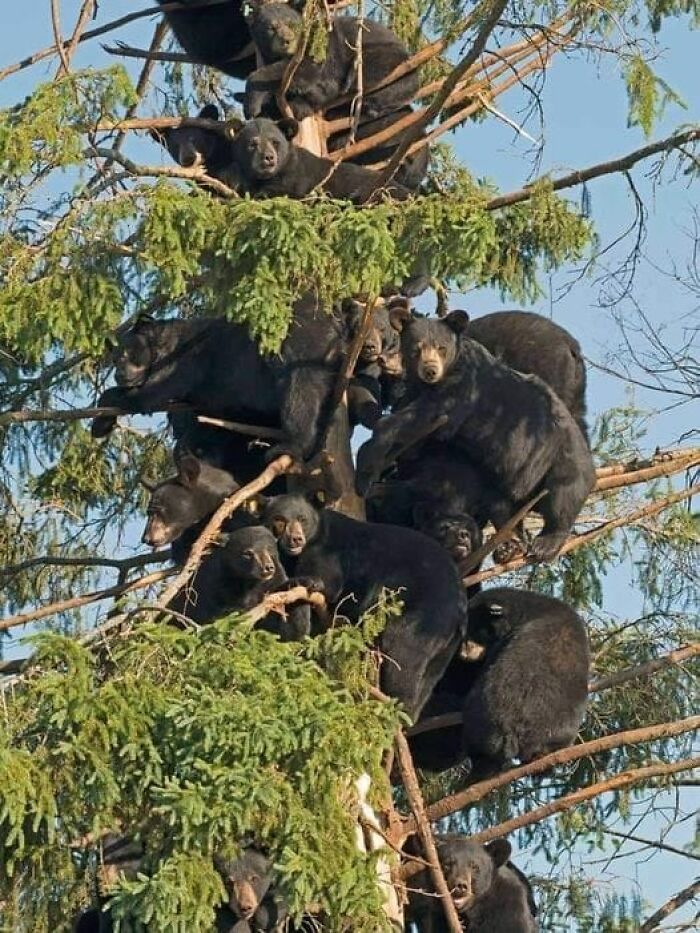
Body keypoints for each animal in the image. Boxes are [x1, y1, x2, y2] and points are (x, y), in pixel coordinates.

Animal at [90, 294, 346, 466]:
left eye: (127, 353)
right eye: (114, 358)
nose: (120, 374)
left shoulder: (185, 361)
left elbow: (151, 393)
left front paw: (102, 417)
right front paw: (102, 424)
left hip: (298, 347)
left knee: (300, 389)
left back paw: (292, 445)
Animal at [167, 523, 311, 639]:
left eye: (269, 550)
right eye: (248, 553)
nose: (267, 567)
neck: (248, 582)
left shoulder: (273, 581)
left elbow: (286, 632)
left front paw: (301, 583)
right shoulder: (213, 584)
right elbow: (209, 616)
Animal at [230, 117, 411, 203]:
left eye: (275, 142)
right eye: (252, 144)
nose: (268, 158)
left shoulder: (297, 177)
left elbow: (290, 192)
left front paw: (261, 194)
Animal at [242, 3, 419, 122]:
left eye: (292, 24)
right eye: (271, 27)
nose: (287, 40)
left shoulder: (321, 46)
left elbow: (307, 69)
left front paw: (251, 106)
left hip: (384, 57)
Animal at [261, 493, 466, 719]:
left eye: (302, 519)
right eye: (279, 520)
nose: (295, 539)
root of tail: (460, 603)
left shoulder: (327, 552)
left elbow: (328, 583)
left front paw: (304, 581)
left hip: (423, 615)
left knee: (404, 657)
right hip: (446, 644)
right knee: (429, 679)